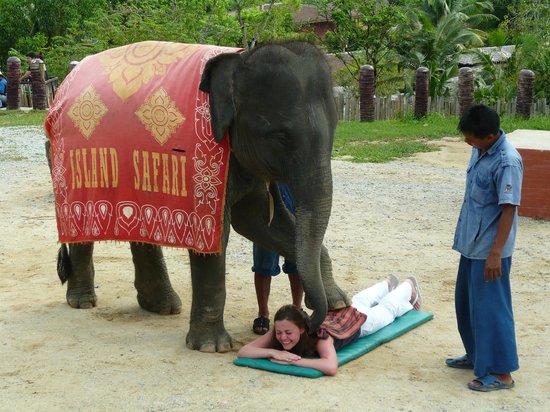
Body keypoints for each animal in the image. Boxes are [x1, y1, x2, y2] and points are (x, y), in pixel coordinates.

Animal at [47, 41, 350, 350]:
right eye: (280, 137)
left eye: (334, 132)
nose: (308, 322)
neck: (240, 59)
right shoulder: (205, 158)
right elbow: (217, 233)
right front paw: (211, 346)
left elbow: (257, 221)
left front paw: (338, 302)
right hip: (62, 157)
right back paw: (83, 301)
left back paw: (162, 306)